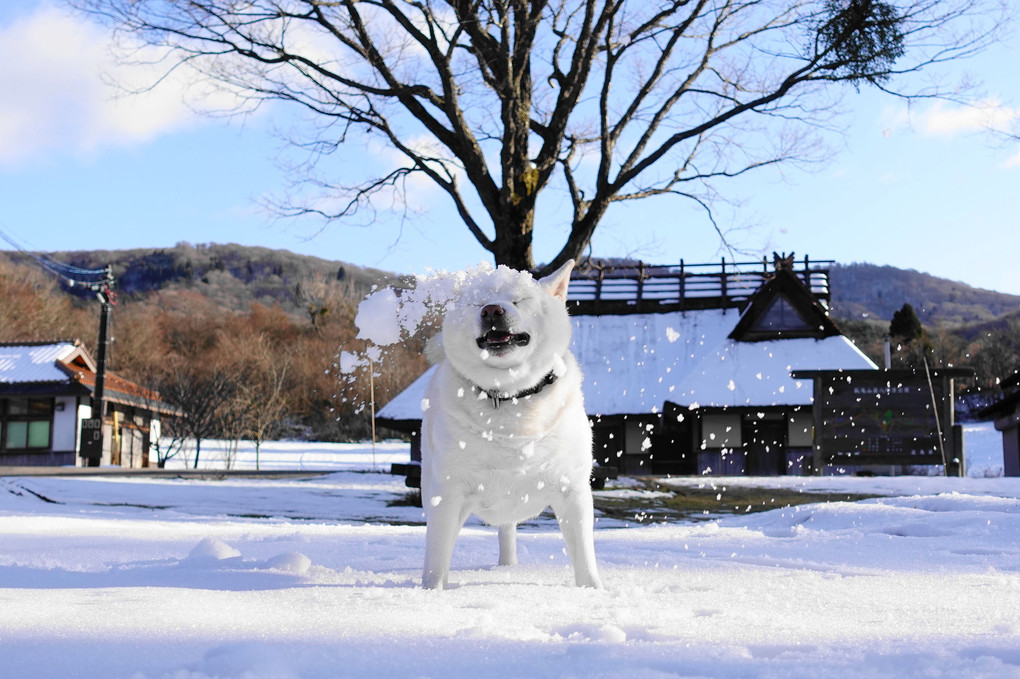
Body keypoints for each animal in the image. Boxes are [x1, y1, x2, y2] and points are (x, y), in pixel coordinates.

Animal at [420, 258, 599, 587]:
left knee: (507, 530)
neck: (511, 397)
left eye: (519, 300)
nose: (492, 310)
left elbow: (584, 556)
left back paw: (508, 567)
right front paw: (432, 592)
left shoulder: (572, 490)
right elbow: (437, 559)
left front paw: (594, 591)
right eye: (477, 302)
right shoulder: (448, 494)